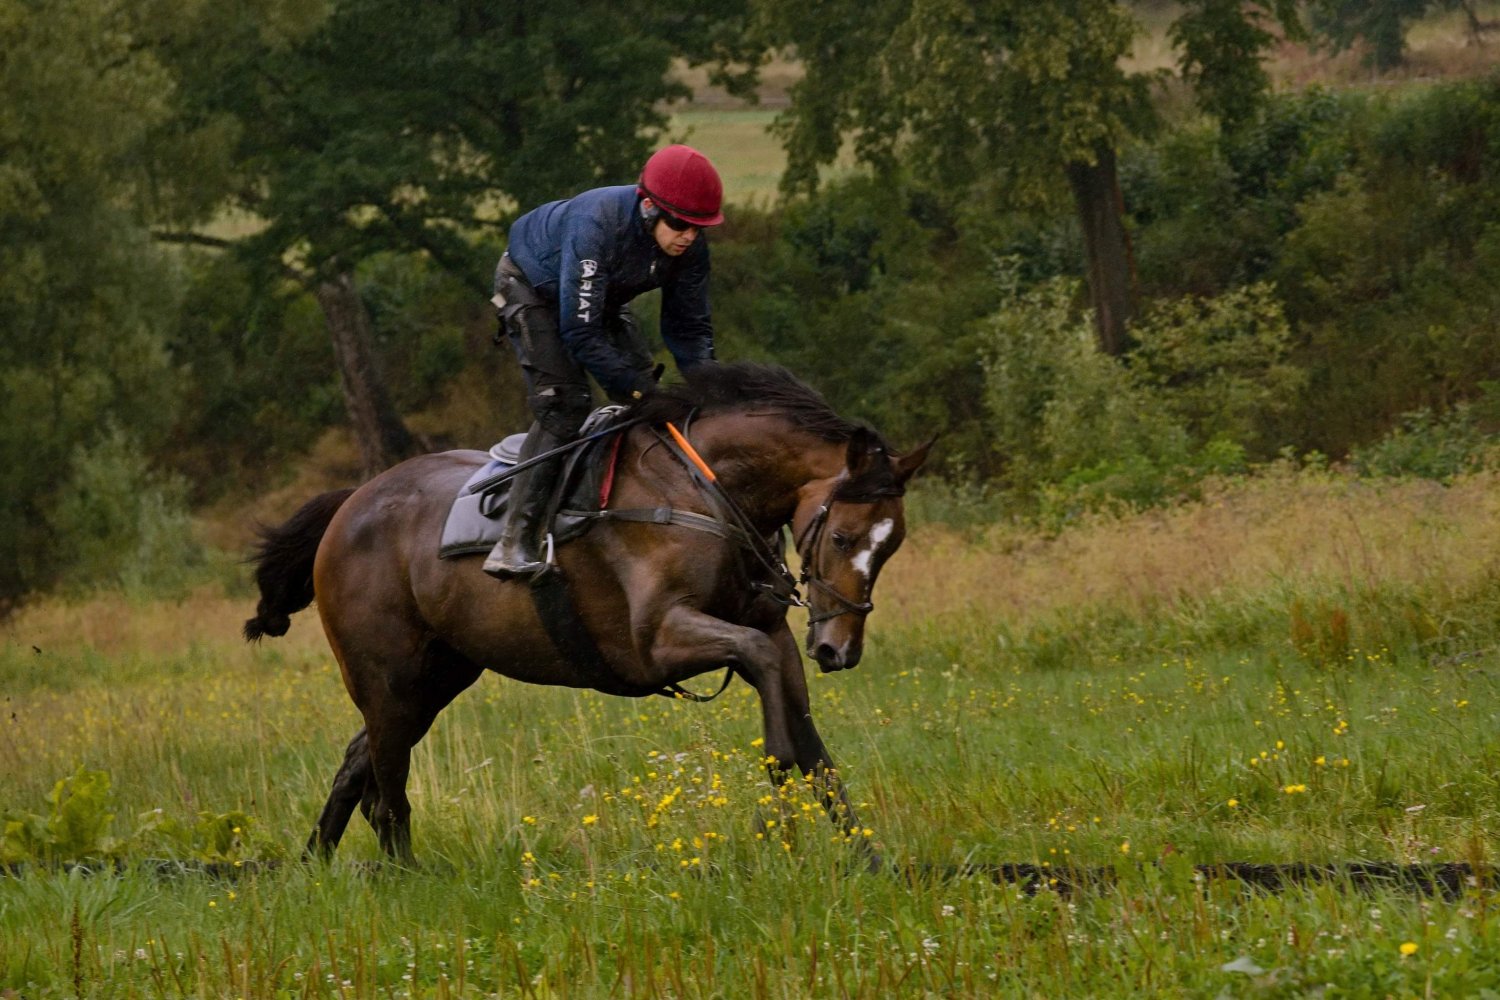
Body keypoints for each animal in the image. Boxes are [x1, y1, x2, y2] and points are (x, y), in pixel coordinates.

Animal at [243, 362, 931, 864]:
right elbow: (779, 718)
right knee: (386, 791)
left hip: (435, 677)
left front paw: (869, 860)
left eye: (891, 545)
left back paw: (314, 865)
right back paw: (403, 877)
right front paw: (780, 812)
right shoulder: (659, 642)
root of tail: (349, 504)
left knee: (360, 762)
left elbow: (814, 747)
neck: (704, 492)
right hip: (388, 677)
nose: (839, 649)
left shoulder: (768, 631)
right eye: (842, 536)